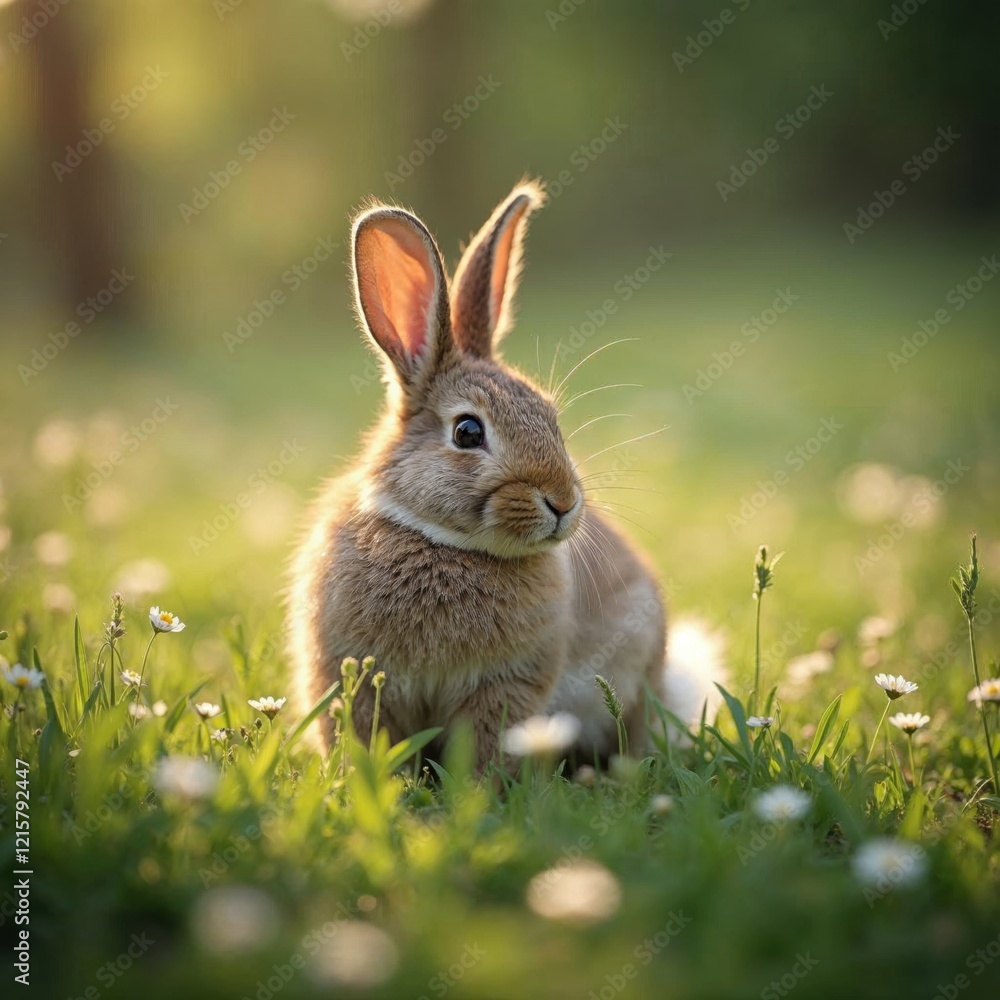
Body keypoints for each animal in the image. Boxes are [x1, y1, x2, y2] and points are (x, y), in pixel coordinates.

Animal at [288, 180, 667, 770]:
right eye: (468, 432)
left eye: (552, 418)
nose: (563, 503)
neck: (443, 542)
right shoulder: (350, 675)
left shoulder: (506, 686)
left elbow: (488, 745)